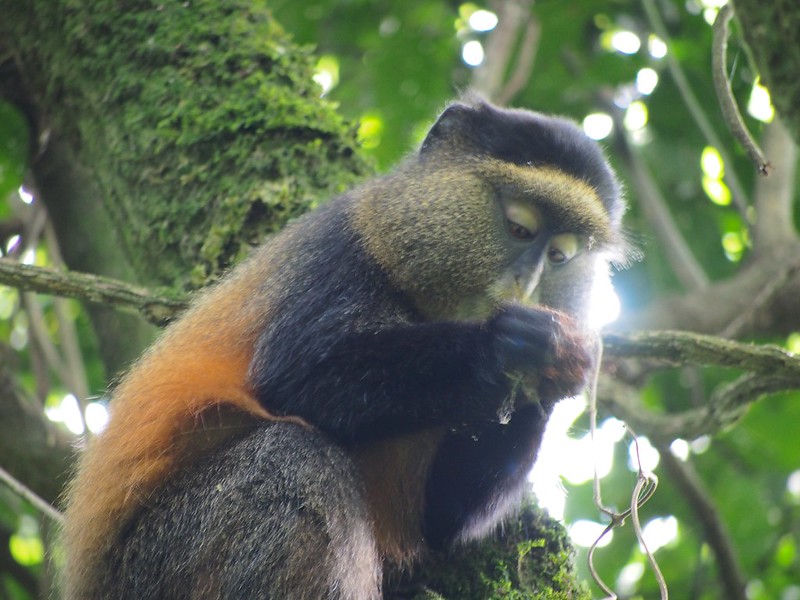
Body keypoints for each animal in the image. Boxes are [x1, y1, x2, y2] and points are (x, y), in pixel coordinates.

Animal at [61, 99, 625, 599]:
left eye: (559, 256)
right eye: (519, 227)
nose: (525, 284)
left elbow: (445, 518)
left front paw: (559, 365)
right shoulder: (343, 249)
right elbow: (299, 375)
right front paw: (513, 347)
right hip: (157, 562)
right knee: (296, 458)